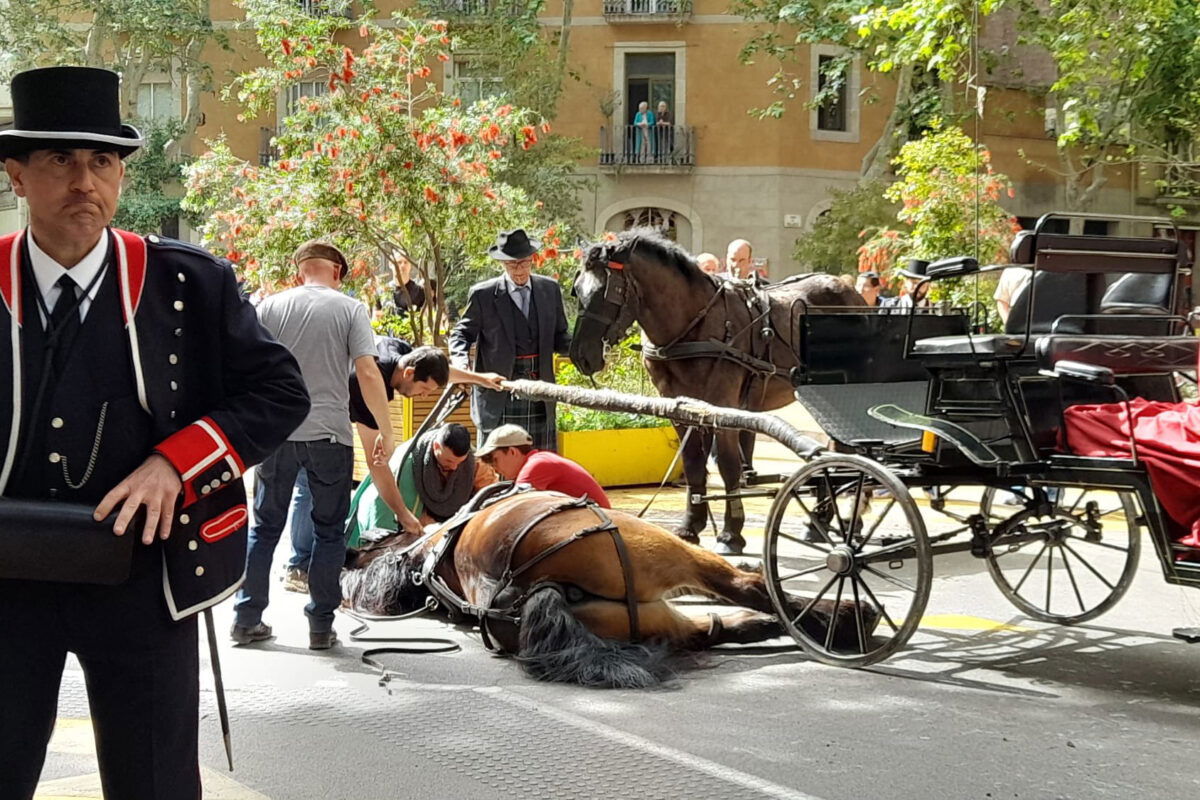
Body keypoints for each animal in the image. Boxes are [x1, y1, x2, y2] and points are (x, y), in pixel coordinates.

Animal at [342, 488, 878, 688]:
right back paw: (844, 620)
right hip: (665, 551)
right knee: (745, 587)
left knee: (714, 626)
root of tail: (530, 590)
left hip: (650, 617)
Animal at [570, 229, 865, 554]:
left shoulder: (724, 405)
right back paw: (822, 520)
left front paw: (730, 532)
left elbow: (727, 465)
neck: (693, 326)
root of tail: (851, 292)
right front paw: (691, 526)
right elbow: (693, 463)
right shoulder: (679, 408)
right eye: (577, 290)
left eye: (606, 293)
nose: (580, 355)